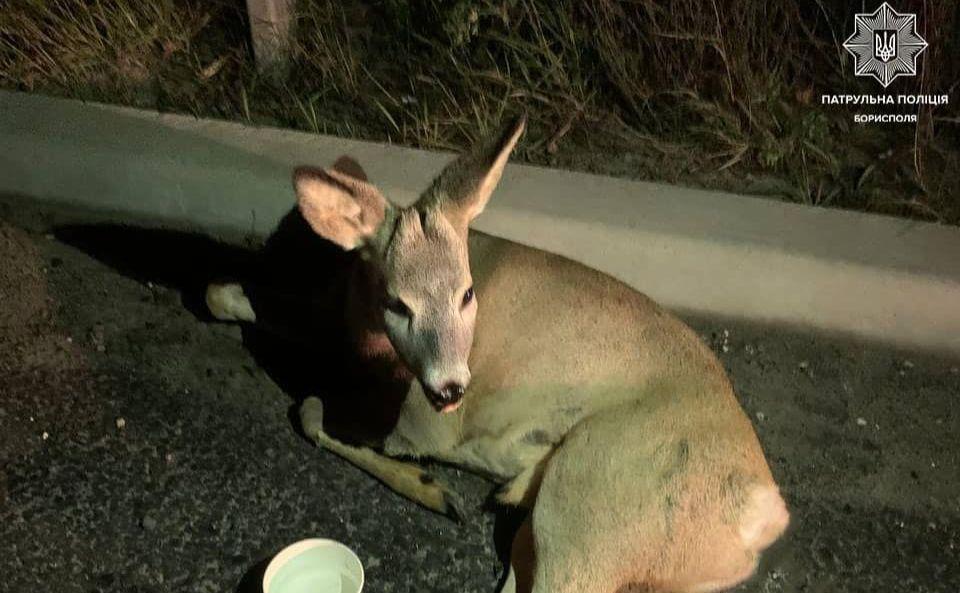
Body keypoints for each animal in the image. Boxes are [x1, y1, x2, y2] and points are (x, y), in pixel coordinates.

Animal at [206, 115, 784, 592]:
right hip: (556, 534)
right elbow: (224, 295)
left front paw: (432, 487)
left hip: (596, 511)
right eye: (397, 301)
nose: (450, 388)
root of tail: (765, 513)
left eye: (467, 293)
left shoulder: (420, 426)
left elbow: (311, 410)